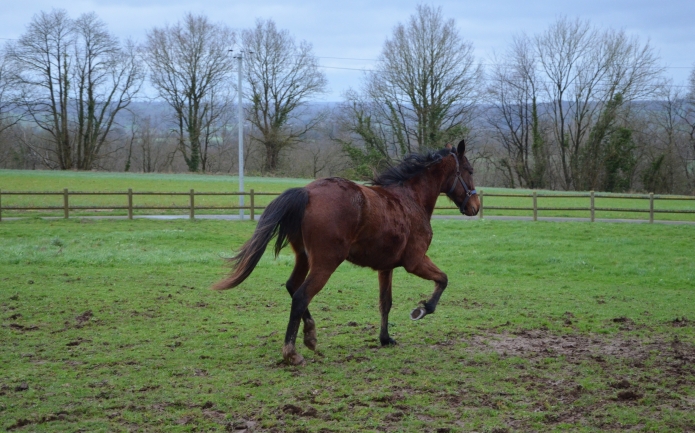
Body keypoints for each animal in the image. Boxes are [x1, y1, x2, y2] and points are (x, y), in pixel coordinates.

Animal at [215, 138, 482, 364]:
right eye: (469, 170)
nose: (476, 206)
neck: (410, 198)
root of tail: (307, 192)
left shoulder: (386, 267)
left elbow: (385, 302)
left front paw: (385, 338)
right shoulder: (415, 261)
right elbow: (443, 280)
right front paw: (422, 309)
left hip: (304, 258)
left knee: (292, 287)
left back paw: (310, 335)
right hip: (326, 263)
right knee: (301, 296)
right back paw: (292, 352)